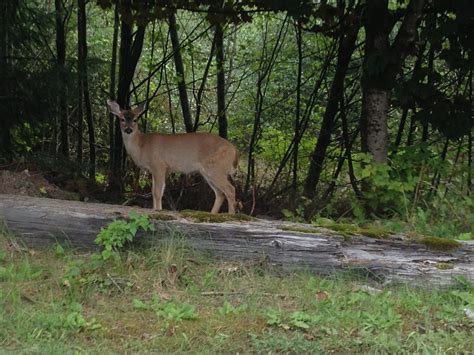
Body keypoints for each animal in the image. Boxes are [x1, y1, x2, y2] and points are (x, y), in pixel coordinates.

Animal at [108, 101, 241, 216]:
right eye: (122, 119)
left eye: (135, 120)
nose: (128, 130)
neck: (142, 145)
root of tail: (234, 151)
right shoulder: (157, 170)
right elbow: (155, 191)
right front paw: (155, 209)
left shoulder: (159, 165)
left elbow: (157, 192)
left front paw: (158, 210)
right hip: (208, 172)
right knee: (220, 193)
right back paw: (212, 214)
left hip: (216, 168)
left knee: (230, 189)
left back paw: (230, 215)